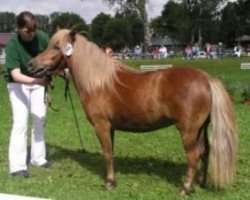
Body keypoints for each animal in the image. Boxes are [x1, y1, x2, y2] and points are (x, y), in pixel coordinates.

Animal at [28, 28, 236, 195]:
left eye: (57, 47)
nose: (31, 64)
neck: (99, 83)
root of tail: (206, 79)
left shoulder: (101, 126)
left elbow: (107, 153)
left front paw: (110, 183)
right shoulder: (110, 128)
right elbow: (110, 153)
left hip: (188, 130)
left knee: (193, 156)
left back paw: (186, 188)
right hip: (201, 129)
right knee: (205, 152)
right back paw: (201, 183)